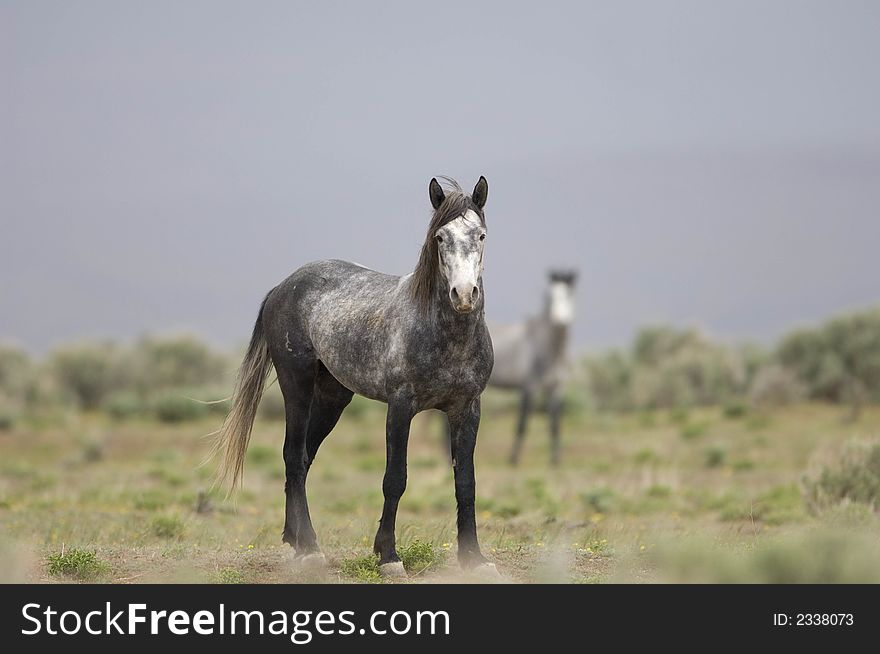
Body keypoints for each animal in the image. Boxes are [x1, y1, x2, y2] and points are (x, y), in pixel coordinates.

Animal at [211, 178, 498, 580]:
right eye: (440, 237)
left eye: (481, 235)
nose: (464, 294)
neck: (444, 334)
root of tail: (283, 286)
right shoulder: (400, 408)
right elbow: (395, 479)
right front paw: (388, 555)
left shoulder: (467, 409)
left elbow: (465, 482)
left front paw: (474, 558)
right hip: (296, 385)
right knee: (293, 455)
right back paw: (310, 550)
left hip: (333, 397)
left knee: (304, 458)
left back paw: (295, 541)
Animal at [492, 272, 576, 466]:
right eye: (549, 297)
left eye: (570, 294)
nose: (560, 322)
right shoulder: (529, 387)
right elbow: (522, 423)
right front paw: (513, 460)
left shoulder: (557, 389)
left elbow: (555, 425)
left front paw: (555, 461)